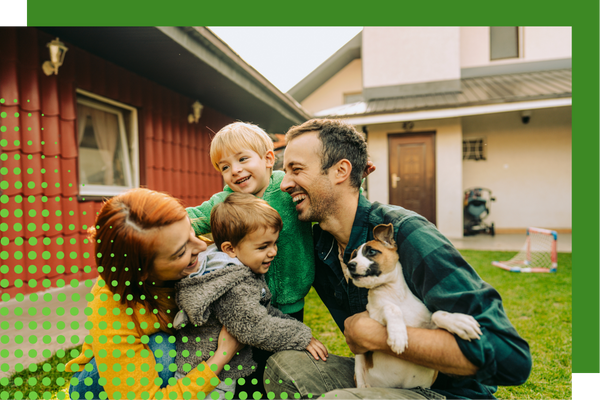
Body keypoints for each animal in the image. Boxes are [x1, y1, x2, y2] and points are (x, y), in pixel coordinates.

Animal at [344, 223, 480, 390]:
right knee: (360, 377)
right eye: (353, 256)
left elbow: (437, 314)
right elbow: (391, 308)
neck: (395, 295)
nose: (350, 265)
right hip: (359, 359)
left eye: (371, 251)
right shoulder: (373, 315)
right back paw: (365, 387)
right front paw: (398, 335)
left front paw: (459, 322)